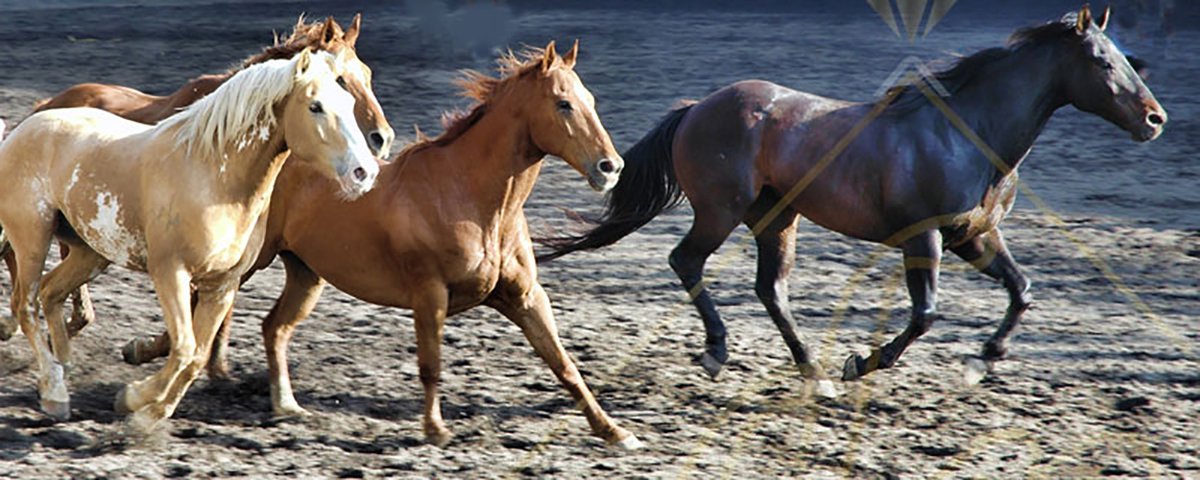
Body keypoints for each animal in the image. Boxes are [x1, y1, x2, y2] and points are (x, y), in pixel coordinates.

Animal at [0, 49, 379, 434]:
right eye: (315, 106)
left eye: (348, 101)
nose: (364, 172)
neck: (213, 176)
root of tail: (23, 128)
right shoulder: (172, 272)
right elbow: (183, 347)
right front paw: (134, 398)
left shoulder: (222, 284)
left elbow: (196, 356)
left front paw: (148, 411)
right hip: (32, 238)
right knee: (26, 305)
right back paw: (55, 393)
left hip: (89, 253)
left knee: (51, 293)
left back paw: (61, 373)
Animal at [125, 41, 643, 451]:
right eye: (563, 104)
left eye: (589, 99)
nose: (610, 167)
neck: (471, 197)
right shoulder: (429, 293)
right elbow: (431, 365)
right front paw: (435, 430)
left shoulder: (524, 297)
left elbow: (564, 364)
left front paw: (614, 431)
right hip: (252, 263)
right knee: (199, 311)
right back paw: (142, 358)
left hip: (306, 273)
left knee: (273, 327)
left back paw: (286, 405)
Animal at [540, 5, 1166, 388]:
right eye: (1102, 61)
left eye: (1128, 58)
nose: (1154, 120)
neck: (967, 131)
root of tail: (696, 108)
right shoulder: (924, 236)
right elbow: (925, 314)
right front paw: (863, 363)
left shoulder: (975, 235)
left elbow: (1022, 290)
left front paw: (985, 358)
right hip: (722, 211)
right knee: (686, 261)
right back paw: (720, 351)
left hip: (777, 218)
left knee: (771, 288)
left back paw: (810, 368)